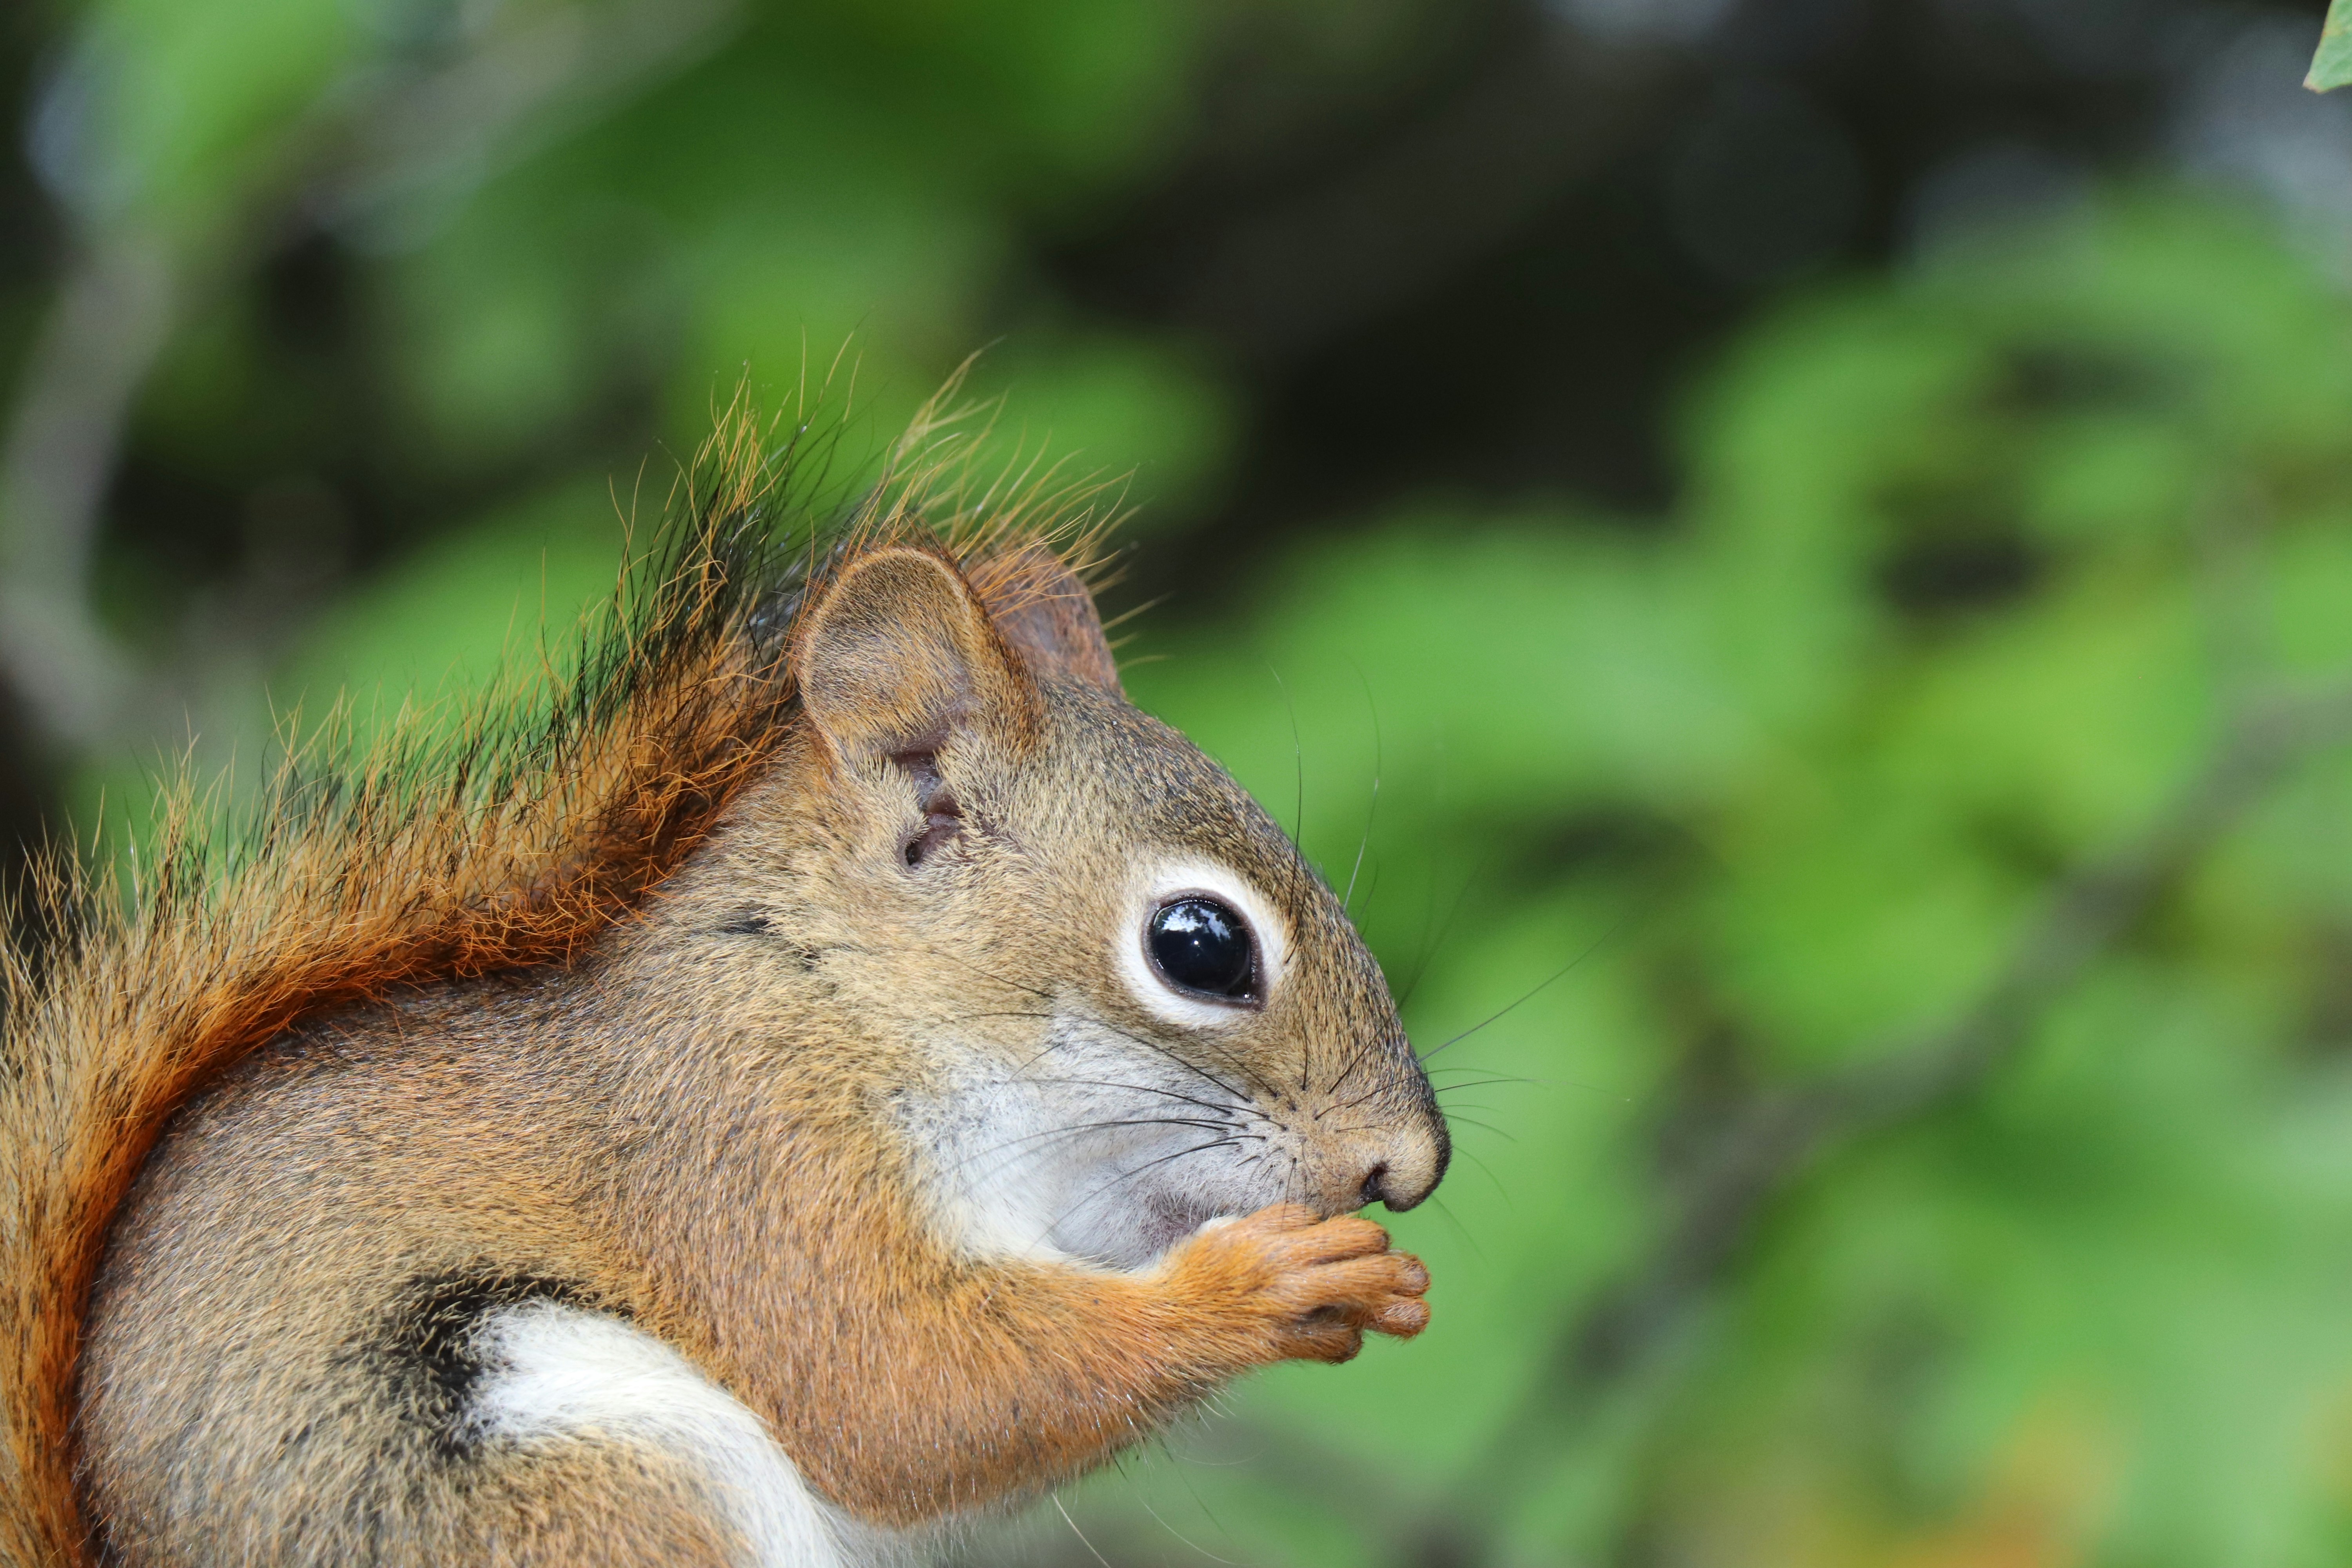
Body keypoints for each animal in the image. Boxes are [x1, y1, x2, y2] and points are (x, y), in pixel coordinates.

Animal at [0, 401, 1449, 1568]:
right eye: (1199, 947)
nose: (1407, 1167)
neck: (846, 993)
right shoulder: (743, 1151)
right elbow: (903, 1391)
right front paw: (1263, 1283)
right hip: (552, 1483)